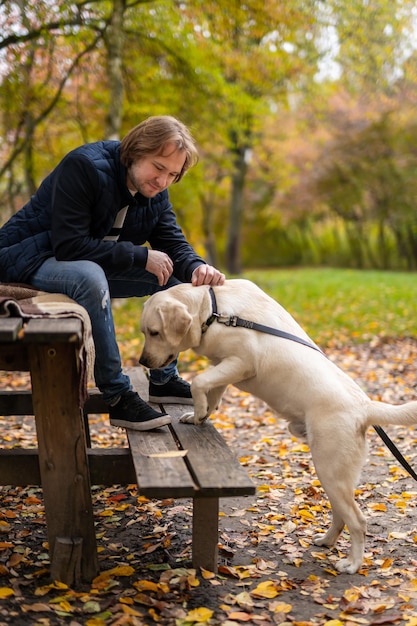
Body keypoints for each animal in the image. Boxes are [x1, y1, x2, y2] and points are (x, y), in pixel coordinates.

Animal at [138, 278, 416, 572]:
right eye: (145, 332)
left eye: (155, 332)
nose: (142, 362)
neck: (212, 310)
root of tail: (364, 406)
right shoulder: (225, 367)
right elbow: (212, 390)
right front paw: (198, 415)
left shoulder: (241, 363)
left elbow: (199, 381)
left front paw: (199, 409)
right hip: (333, 478)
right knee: (341, 516)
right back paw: (326, 541)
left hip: (330, 471)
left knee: (358, 521)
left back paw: (352, 564)